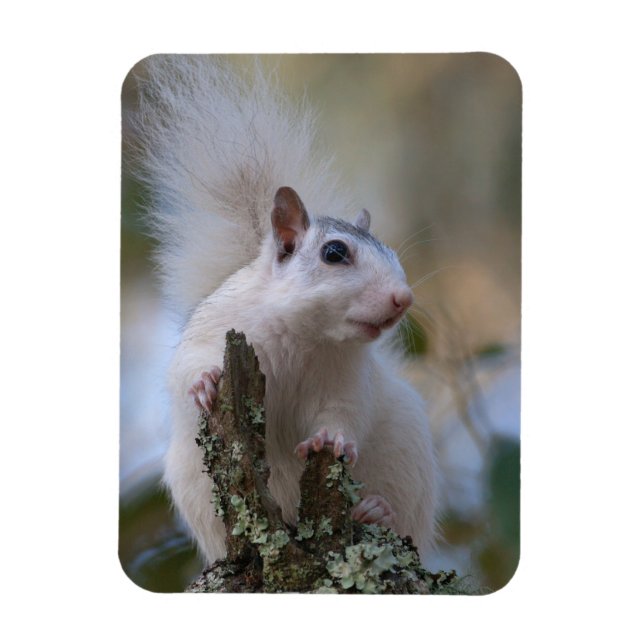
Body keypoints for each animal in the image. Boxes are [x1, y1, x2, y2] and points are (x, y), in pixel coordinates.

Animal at [127, 55, 439, 566]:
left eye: (393, 256)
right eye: (334, 253)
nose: (403, 299)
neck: (304, 336)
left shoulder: (347, 379)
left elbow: (345, 413)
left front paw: (332, 440)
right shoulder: (216, 329)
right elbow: (185, 367)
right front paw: (203, 382)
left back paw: (376, 512)